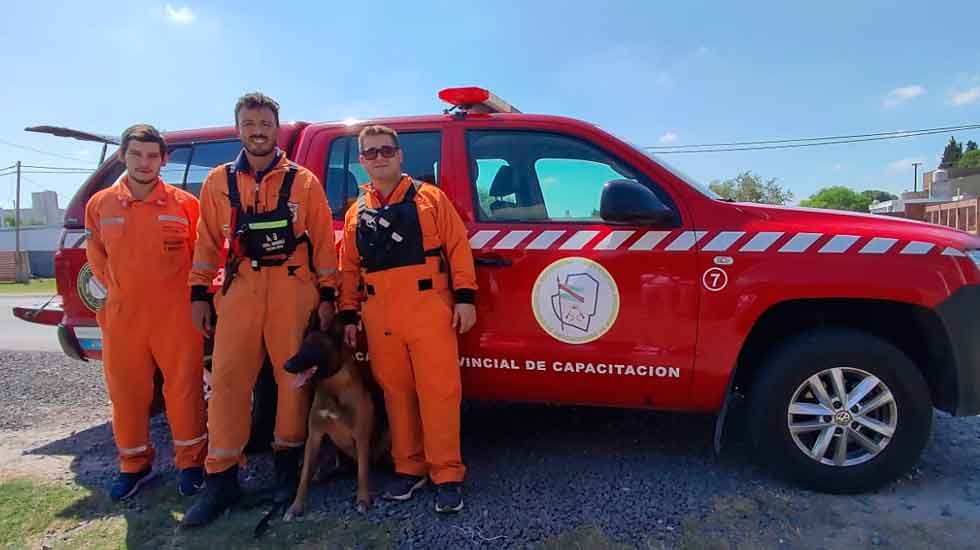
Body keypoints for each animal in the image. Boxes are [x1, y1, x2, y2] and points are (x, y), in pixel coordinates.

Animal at [282, 320, 388, 520]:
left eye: (313, 348)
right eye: (301, 347)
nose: (286, 365)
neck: (332, 388)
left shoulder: (361, 436)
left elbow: (363, 472)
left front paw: (363, 500)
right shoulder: (314, 437)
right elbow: (304, 477)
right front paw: (296, 507)